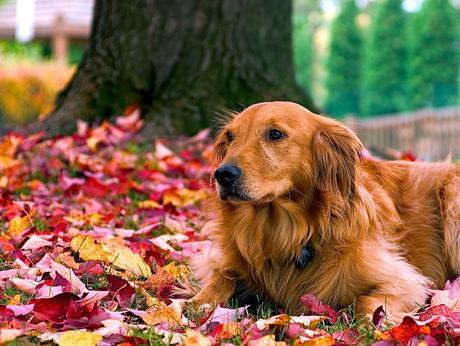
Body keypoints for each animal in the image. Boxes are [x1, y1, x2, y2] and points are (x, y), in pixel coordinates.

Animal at [190, 101, 460, 320]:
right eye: (230, 137)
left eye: (275, 134)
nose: (223, 175)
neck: (287, 233)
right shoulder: (228, 261)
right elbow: (216, 281)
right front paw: (194, 304)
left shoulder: (404, 280)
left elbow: (366, 304)